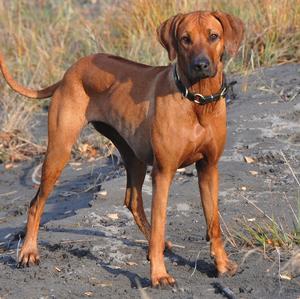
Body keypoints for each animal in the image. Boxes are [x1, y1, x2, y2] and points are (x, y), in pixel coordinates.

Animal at [0, 11, 244, 288]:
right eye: (185, 39)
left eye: (214, 36)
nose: (201, 65)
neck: (197, 100)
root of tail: (70, 71)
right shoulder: (163, 172)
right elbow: (160, 223)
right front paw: (159, 275)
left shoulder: (209, 168)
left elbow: (214, 223)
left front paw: (222, 265)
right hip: (59, 151)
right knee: (35, 203)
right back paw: (28, 252)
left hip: (133, 155)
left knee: (132, 200)